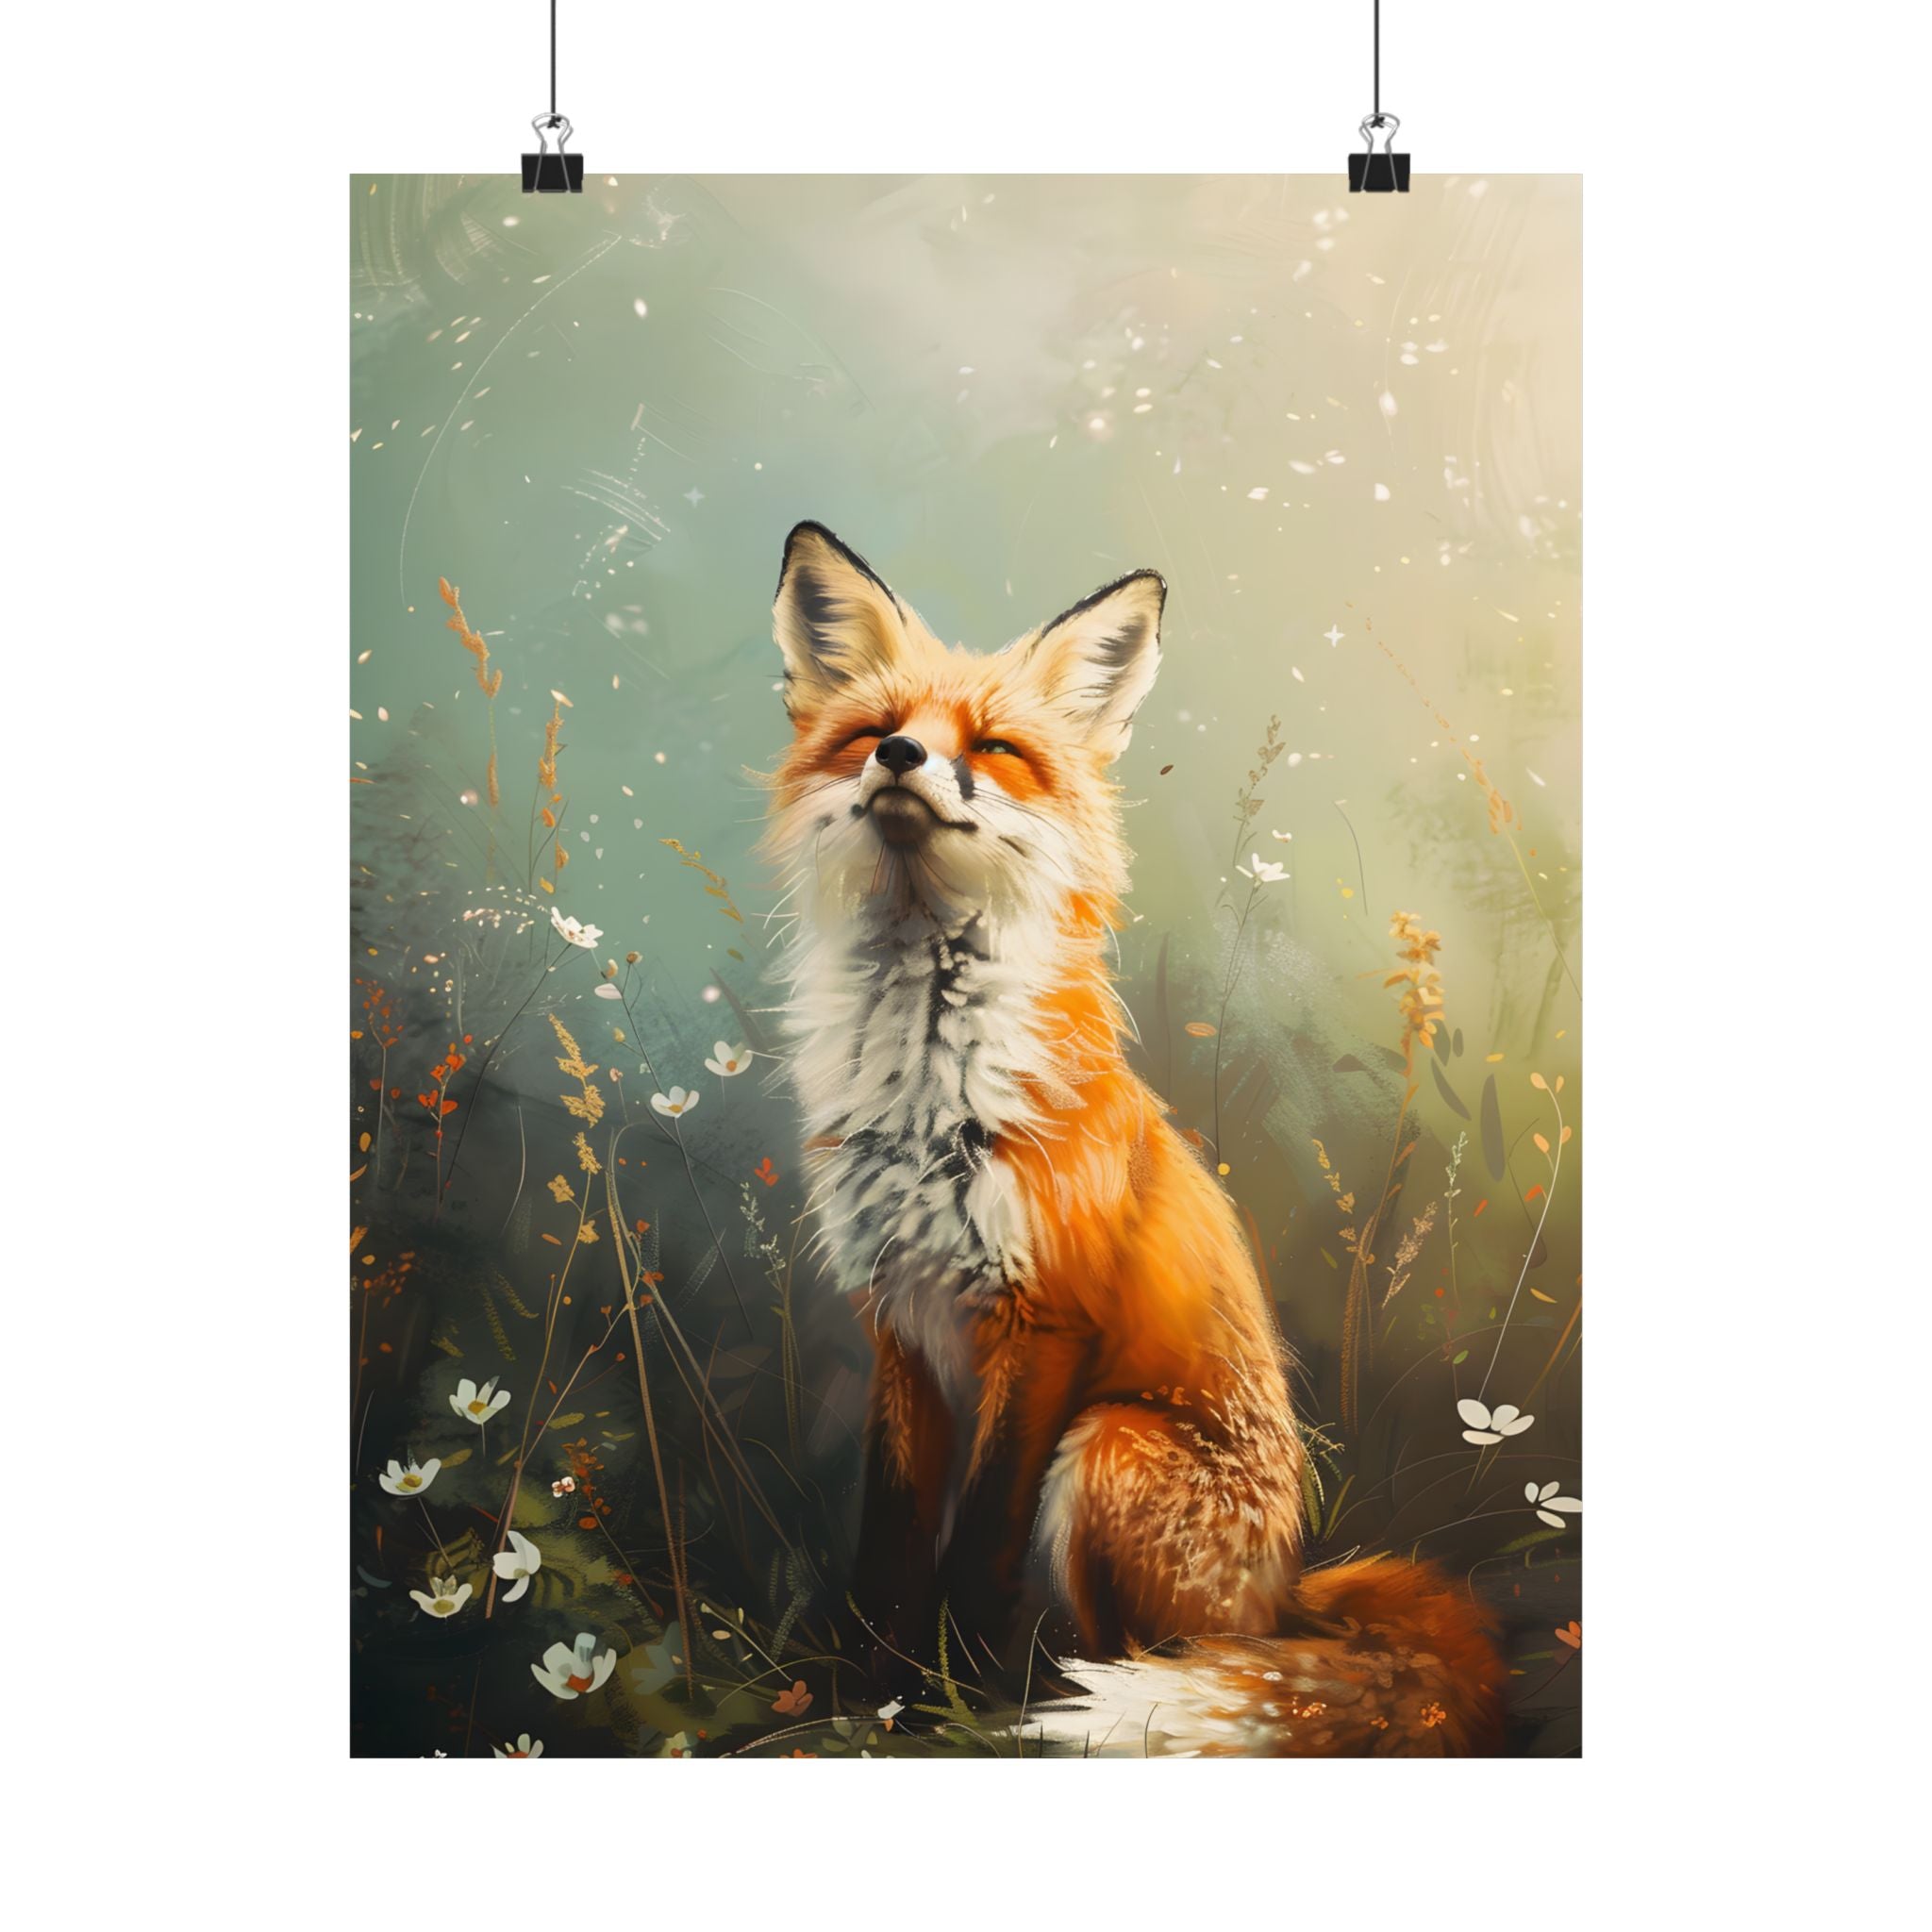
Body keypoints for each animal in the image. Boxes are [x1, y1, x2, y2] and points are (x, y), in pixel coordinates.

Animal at [761, 521, 1506, 1756]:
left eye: (995, 747)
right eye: (874, 731)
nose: (902, 759)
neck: (927, 1084)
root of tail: (1286, 1594)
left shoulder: (1044, 1317)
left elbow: (975, 1550)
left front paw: (941, 1695)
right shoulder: (897, 1320)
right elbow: (891, 1537)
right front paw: (859, 1686)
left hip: (1106, 1444)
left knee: (1158, 1661)